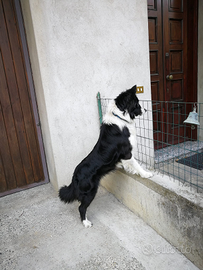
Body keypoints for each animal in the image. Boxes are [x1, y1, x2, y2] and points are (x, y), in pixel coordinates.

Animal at [58, 85, 152, 228]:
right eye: (137, 103)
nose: (146, 109)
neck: (120, 117)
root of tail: (75, 176)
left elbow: (130, 164)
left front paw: (130, 170)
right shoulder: (127, 152)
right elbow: (136, 164)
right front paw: (145, 174)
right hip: (90, 192)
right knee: (81, 207)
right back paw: (86, 223)